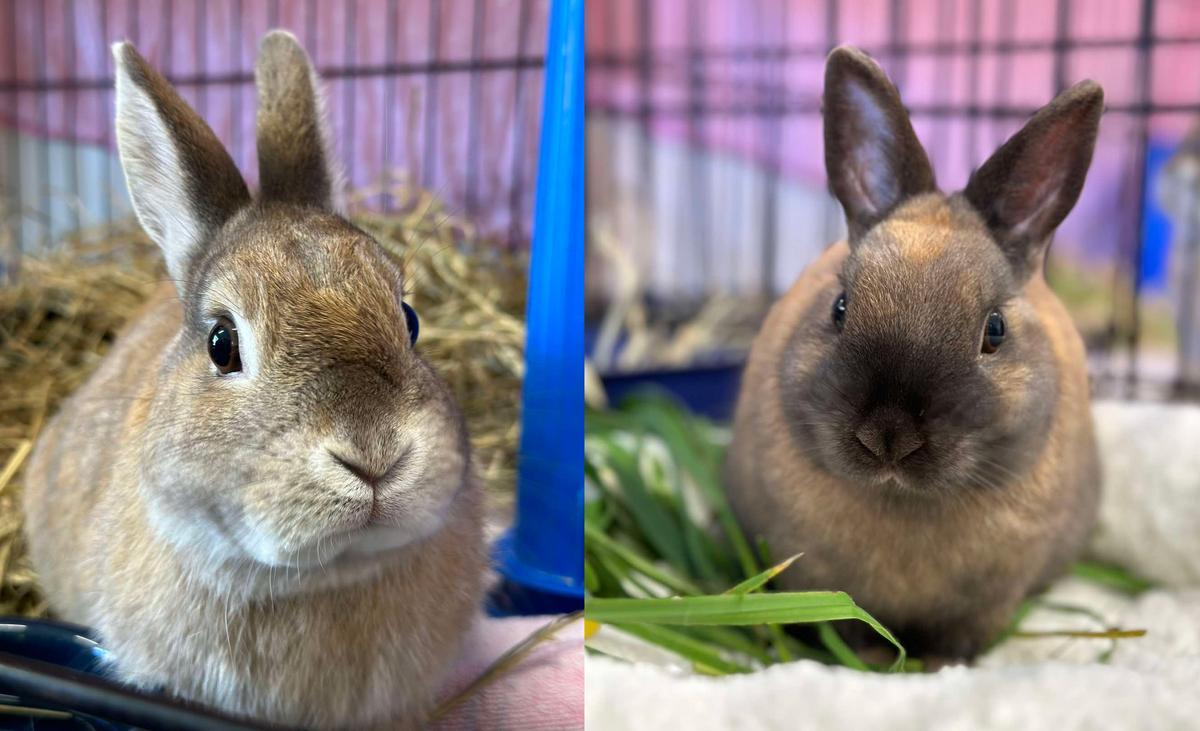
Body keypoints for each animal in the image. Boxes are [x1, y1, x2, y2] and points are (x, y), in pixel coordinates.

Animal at [725, 46, 1103, 663]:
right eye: (840, 307)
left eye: (994, 330)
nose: (888, 435)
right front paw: (874, 660)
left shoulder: (991, 601)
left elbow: (964, 639)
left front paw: (941, 666)